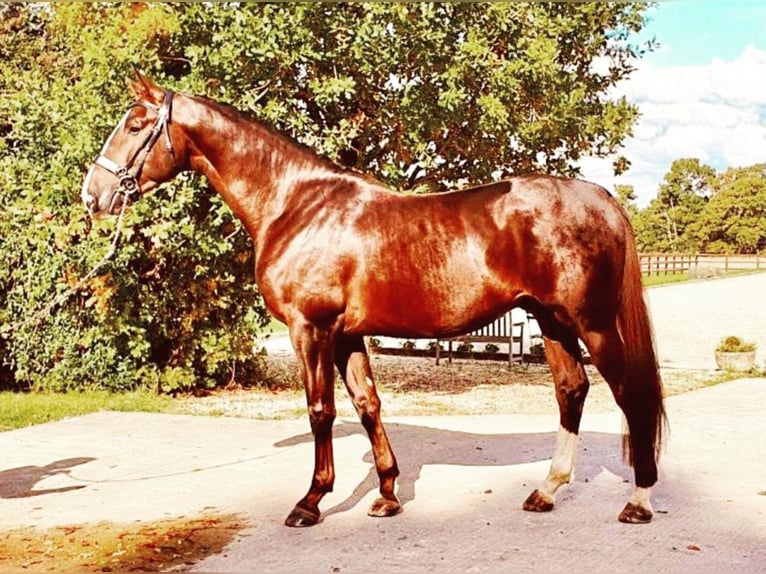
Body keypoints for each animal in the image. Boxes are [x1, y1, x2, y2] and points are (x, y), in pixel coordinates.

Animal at [79, 74, 664, 528]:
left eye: (136, 125)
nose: (92, 195)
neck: (295, 204)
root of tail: (601, 197)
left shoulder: (310, 328)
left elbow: (321, 410)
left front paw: (310, 502)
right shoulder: (347, 335)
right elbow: (367, 405)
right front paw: (386, 496)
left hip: (590, 323)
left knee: (629, 394)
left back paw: (638, 501)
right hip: (552, 321)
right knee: (572, 391)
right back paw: (546, 491)